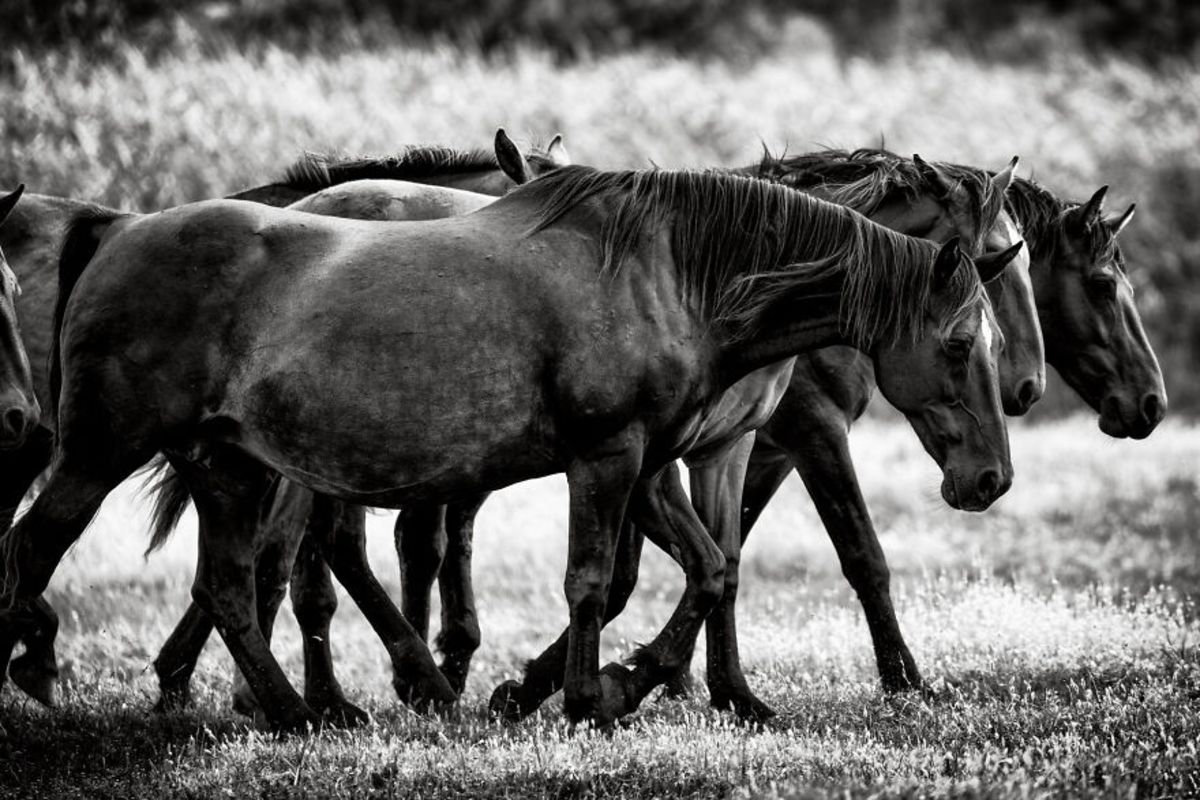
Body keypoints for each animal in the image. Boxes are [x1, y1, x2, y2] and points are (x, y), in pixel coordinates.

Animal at [0, 167, 1012, 734]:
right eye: (961, 343)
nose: (991, 480)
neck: (668, 273)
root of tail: (117, 230)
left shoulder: (654, 464)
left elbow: (711, 569)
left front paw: (632, 682)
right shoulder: (608, 459)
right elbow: (593, 581)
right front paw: (588, 697)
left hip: (231, 468)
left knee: (229, 585)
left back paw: (297, 712)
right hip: (100, 454)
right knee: (35, 548)